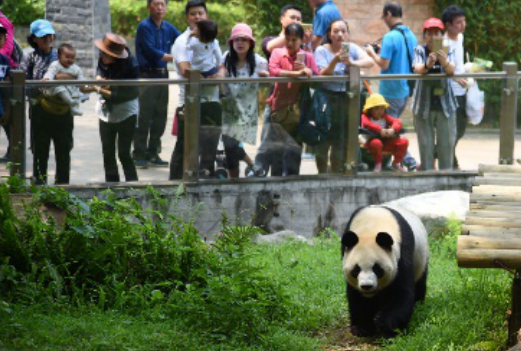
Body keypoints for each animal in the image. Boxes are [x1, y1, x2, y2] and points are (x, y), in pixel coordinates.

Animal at [342, 206, 426, 338]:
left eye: (377, 269)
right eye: (356, 270)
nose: (367, 286)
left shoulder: (402, 254)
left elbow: (400, 293)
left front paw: (385, 325)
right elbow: (356, 296)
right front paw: (362, 328)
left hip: (421, 258)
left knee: (420, 281)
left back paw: (419, 302)